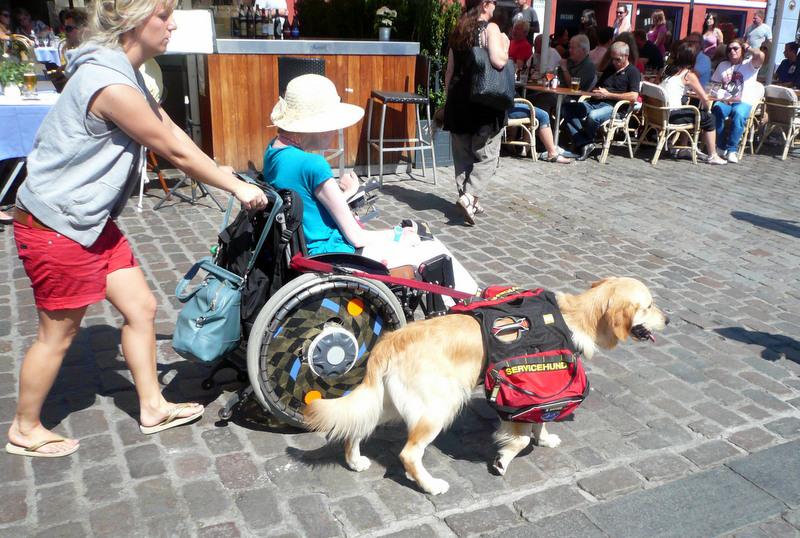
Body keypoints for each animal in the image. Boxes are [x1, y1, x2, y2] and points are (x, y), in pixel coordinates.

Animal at [304, 278, 664, 492]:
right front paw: (504, 459)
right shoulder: (514, 396)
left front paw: (544, 439)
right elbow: (520, 439)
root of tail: (389, 341)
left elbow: (540, 424)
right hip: (437, 408)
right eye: (648, 305)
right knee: (408, 454)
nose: (669, 319)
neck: (571, 318)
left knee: (355, 428)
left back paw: (355, 461)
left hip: (387, 403)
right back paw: (431, 485)